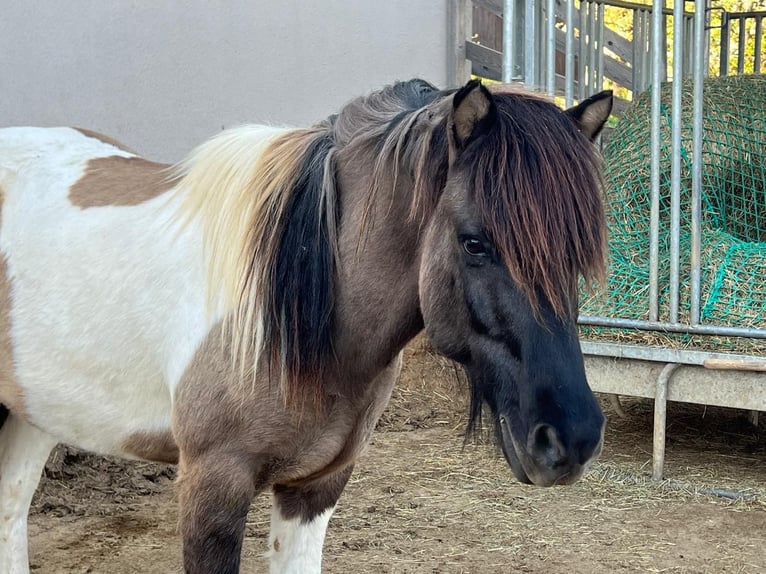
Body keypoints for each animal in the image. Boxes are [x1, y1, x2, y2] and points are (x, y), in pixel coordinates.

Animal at [0, 78, 612, 573]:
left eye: (578, 256)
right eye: (475, 243)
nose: (571, 437)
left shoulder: (315, 487)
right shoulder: (211, 487)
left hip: (36, 414)